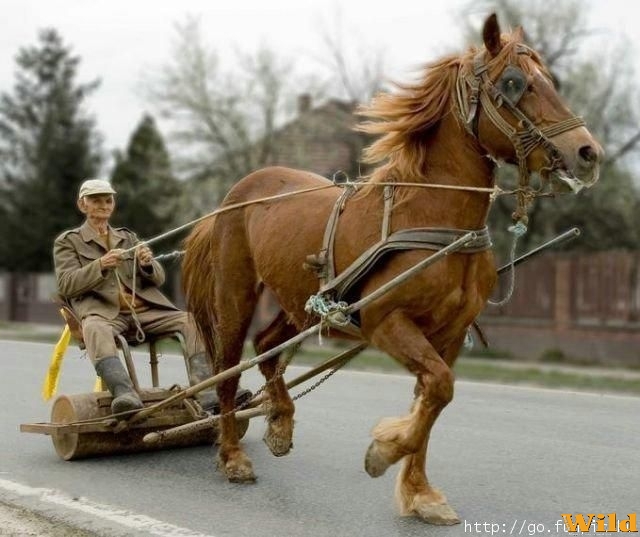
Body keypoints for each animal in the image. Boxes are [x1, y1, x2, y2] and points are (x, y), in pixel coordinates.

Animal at [180, 13, 600, 524]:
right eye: (515, 83)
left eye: (550, 80)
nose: (587, 153)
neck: (431, 218)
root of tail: (237, 192)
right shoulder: (386, 322)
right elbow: (438, 389)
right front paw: (384, 451)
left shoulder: (448, 335)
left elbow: (432, 398)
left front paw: (418, 492)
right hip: (236, 293)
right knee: (228, 368)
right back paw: (232, 456)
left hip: (298, 300)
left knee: (266, 347)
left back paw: (280, 423)